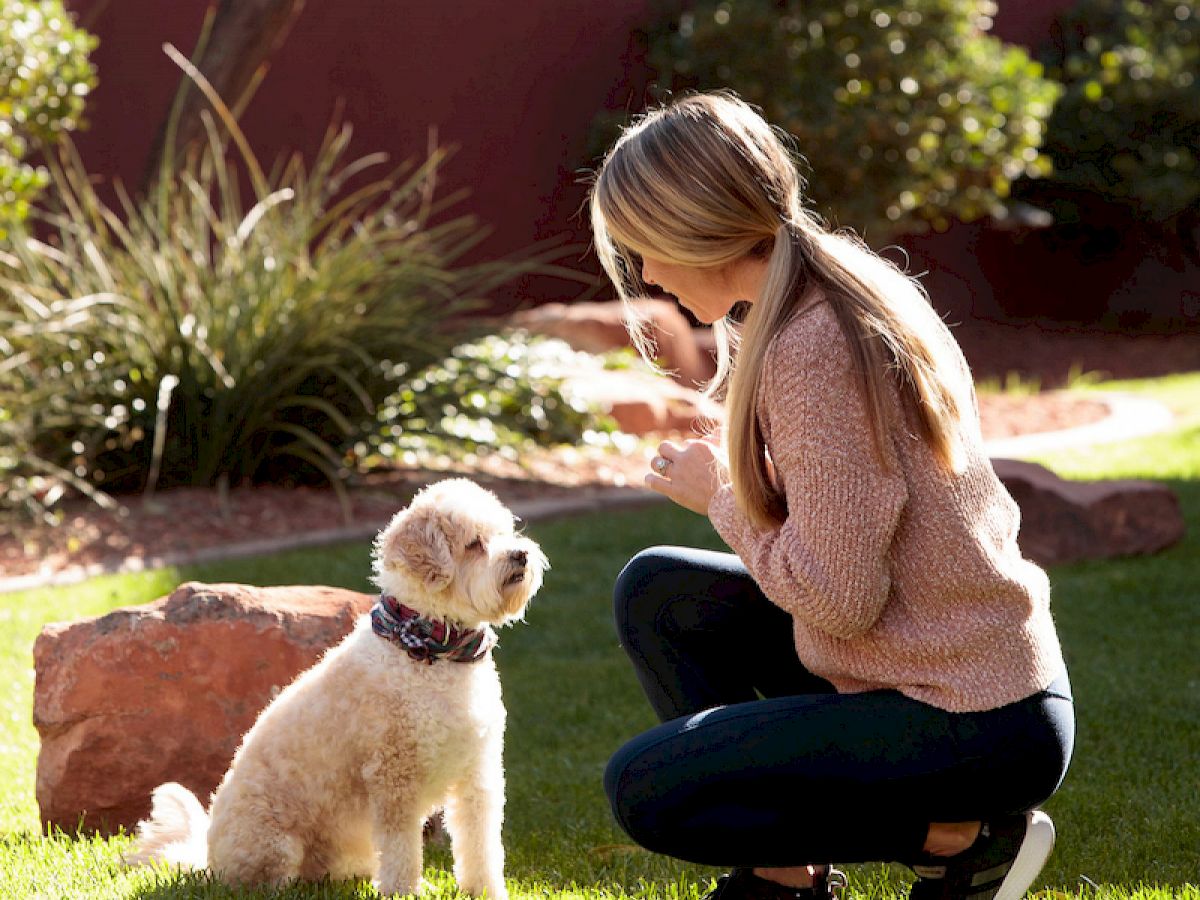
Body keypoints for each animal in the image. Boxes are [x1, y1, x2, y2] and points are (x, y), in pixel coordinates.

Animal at [127, 475, 549, 897]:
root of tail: (207, 859)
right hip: (273, 845)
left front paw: (486, 891)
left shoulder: (478, 774)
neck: (433, 650)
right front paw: (403, 892)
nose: (521, 555)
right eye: (474, 544)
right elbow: (402, 851)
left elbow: (481, 845)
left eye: (506, 531)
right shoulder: (395, 781)